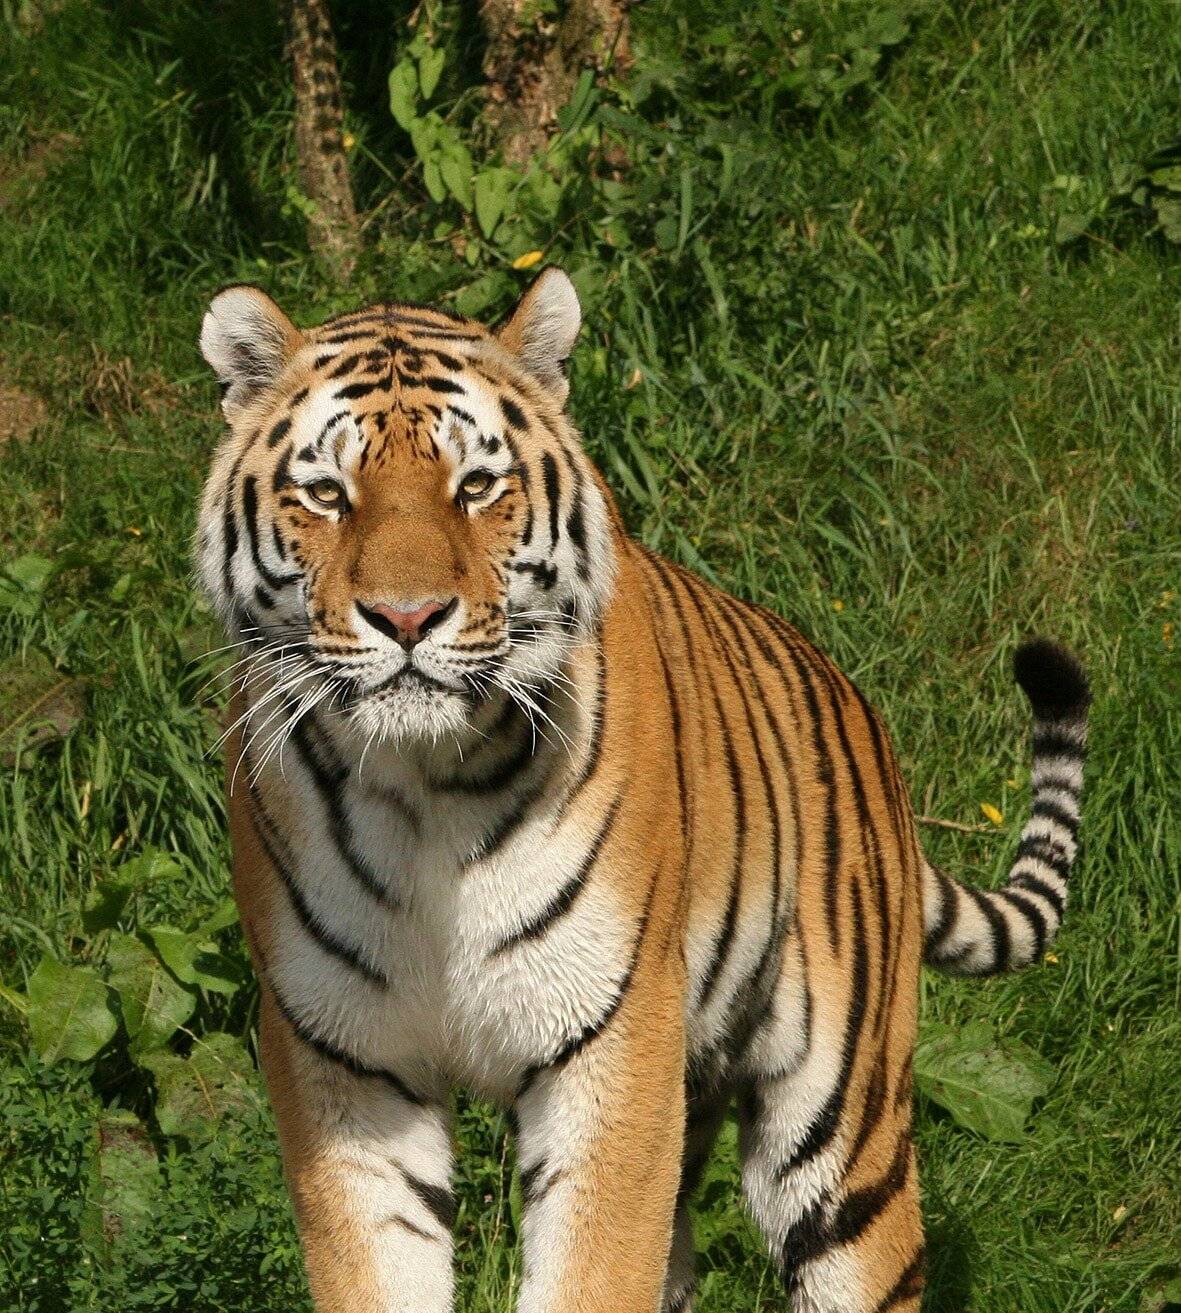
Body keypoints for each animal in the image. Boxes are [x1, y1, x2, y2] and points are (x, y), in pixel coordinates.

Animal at [194, 266, 1087, 1313]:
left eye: (476, 487)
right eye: (327, 495)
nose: (407, 617)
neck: (425, 788)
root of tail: (854, 705)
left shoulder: (611, 1043)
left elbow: (589, 1268)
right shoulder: (344, 1060)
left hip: (841, 1128)